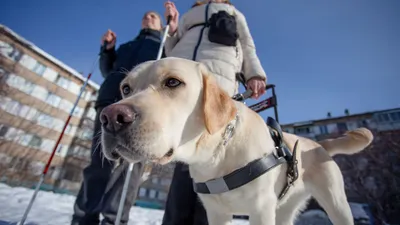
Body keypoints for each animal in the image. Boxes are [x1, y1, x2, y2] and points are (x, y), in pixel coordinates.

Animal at [101, 57, 376, 224]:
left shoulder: (261, 210)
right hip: (284, 209)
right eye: (126, 88)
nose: (111, 117)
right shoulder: (216, 212)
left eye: (172, 82)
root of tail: (320, 145)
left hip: (336, 203)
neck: (216, 156)